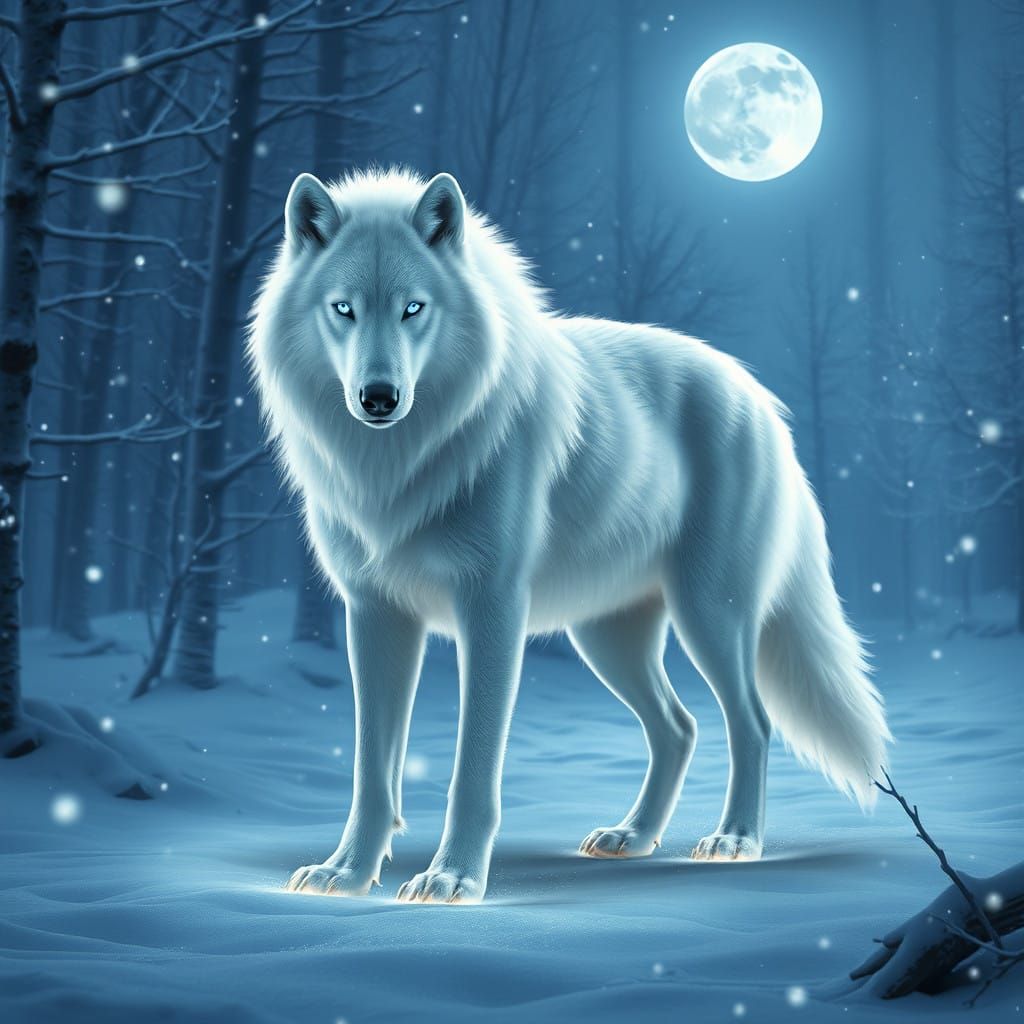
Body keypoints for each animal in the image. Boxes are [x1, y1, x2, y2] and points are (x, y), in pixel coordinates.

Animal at [248, 168, 891, 904]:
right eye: (343, 309)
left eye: (413, 309)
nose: (378, 397)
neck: (402, 464)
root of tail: (761, 400)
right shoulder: (375, 615)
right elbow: (371, 771)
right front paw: (348, 874)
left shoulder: (491, 610)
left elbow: (474, 768)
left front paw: (453, 878)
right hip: (605, 638)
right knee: (679, 726)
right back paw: (632, 836)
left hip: (708, 616)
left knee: (749, 722)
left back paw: (734, 840)